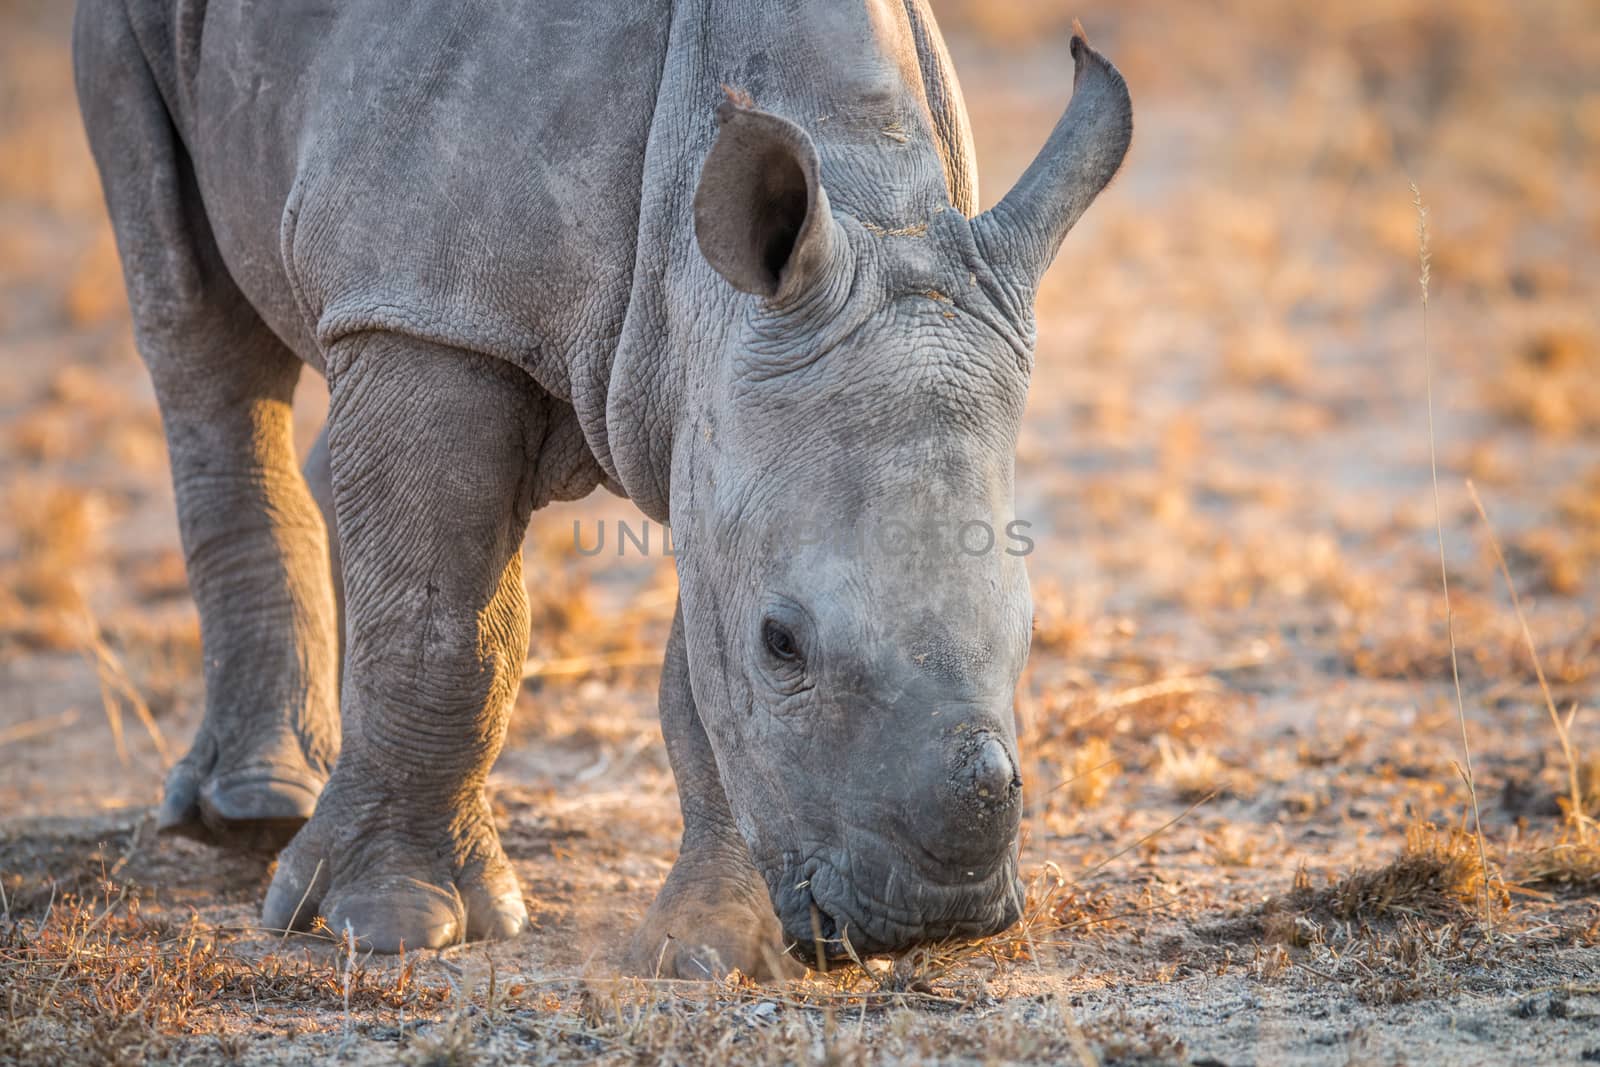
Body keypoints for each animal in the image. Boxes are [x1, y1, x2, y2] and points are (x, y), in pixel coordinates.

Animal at [72, 0, 1126, 979]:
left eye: (1032, 630)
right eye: (783, 644)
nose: (932, 920)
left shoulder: (720, 401)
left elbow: (697, 674)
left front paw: (715, 952)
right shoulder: (442, 307)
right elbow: (442, 626)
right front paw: (389, 924)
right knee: (196, 320)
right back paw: (252, 816)